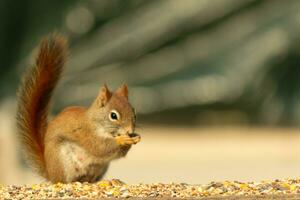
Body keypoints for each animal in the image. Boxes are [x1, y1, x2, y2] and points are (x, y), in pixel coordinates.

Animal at [15, 33, 139, 183]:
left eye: (134, 112)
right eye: (113, 115)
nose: (130, 131)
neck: (97, 122)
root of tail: (50, 173)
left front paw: (135, 138)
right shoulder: (86, 133)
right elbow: (100, 148)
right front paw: (123, 140)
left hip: (100, 167)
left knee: (89, 180)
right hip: (62, 161)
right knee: (66, 180)